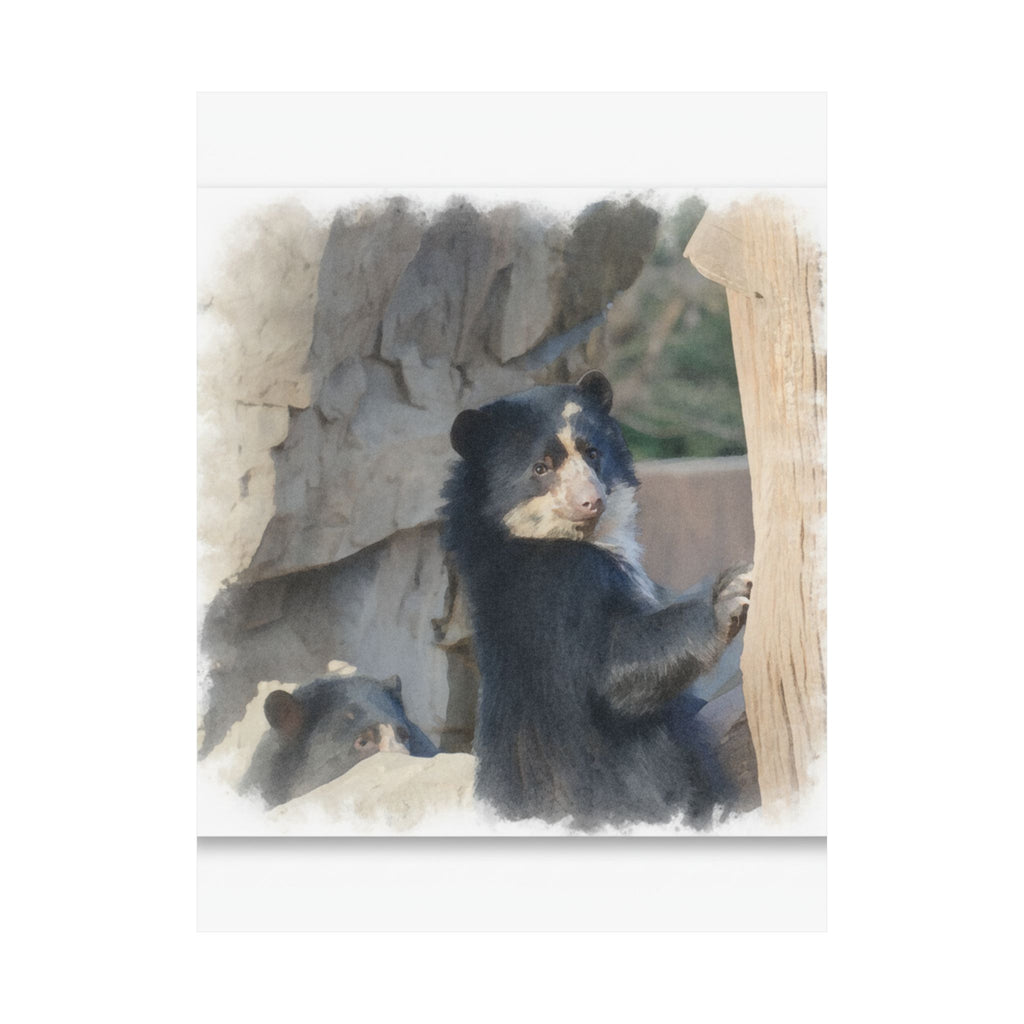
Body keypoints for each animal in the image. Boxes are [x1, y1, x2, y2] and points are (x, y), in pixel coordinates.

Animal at [440, 370, 751, 829]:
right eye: (541, 467)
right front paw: (732, 593)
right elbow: (613, 667)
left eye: (593, 452)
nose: (591, 501)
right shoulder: (561, 588)